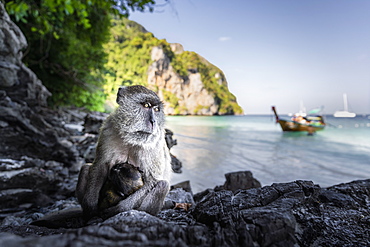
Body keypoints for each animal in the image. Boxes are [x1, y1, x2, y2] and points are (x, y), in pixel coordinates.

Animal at [77, 85, 173, 218]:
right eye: (146, 105)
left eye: (156, 109)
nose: (153, 122)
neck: (131, 138)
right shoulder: (108, 129)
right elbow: (101, 165)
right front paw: (90, 205)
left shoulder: (154, 143)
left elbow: (152, 180)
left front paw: (119, 209)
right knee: (85, 168)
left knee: (162, 186)